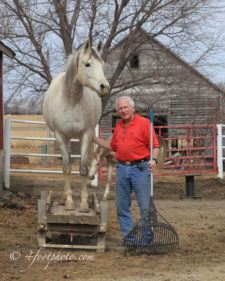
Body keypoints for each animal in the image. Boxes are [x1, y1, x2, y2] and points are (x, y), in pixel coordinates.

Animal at [43, 40, 110, 209]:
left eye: (102, 64)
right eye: (87, 64)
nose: (105, 87)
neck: (71, 100)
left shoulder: (85, 135)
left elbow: (83, 169)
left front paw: (84, 203)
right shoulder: (60, 136)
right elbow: (66, 169)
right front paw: (69, 202)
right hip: (65, 139)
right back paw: (64, 197)